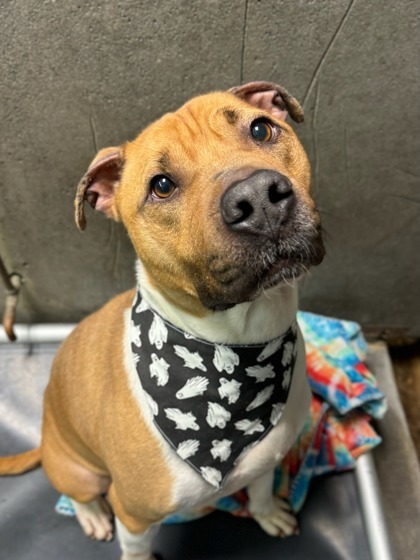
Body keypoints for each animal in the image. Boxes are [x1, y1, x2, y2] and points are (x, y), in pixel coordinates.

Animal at [0, 81, 324, 556]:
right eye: (163, 186)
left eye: (261, 129)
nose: (257, 197)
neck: (239, 346)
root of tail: (44, 435)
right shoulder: (134, 513)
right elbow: (134, 548)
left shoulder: (268, 462)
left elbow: (262, 490)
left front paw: (267, 516)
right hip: (80, 472)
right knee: (80, 494)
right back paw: (93, 515)